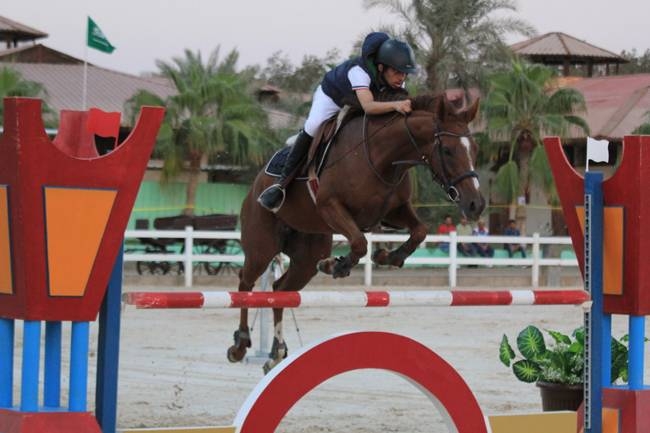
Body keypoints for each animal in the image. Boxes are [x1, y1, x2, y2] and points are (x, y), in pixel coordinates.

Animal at [227, 93, 480, 370]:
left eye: (475, 150)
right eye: (447, 150)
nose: (476, 204)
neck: (383, 157)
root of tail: (255, 186)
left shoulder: (396, 210)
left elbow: (420, 231)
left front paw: (387, 257)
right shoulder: (331, 206)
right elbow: (359, 242)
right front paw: (337, 265)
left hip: (306, 257)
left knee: (280, 290)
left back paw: (276, 352)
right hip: (261, 247)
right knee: (245, 282)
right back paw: (240, 344)